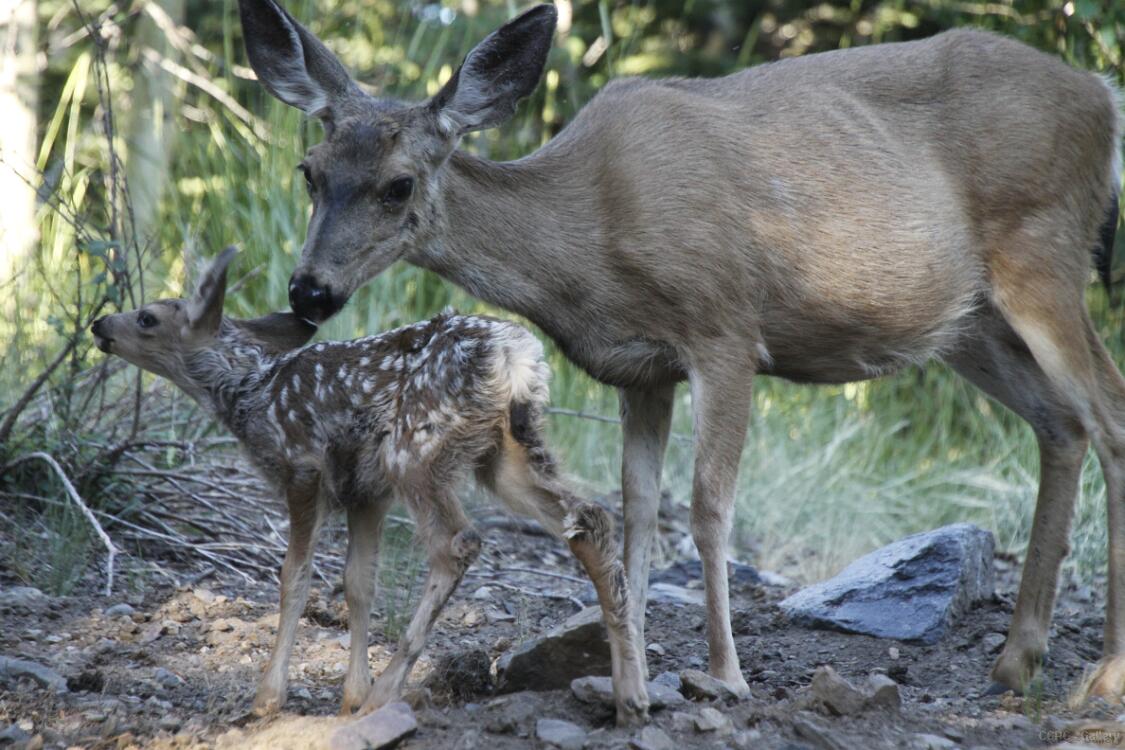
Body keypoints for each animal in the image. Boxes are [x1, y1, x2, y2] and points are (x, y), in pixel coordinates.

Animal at [239, 0, 1125, 706]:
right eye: (309, 170)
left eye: (397, 184)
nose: (308, 291)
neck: (589, 239)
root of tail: (1102, 98)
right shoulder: (640, 367)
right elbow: (637, 507)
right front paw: (625, 667)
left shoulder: (723, 326)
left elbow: (705, 506)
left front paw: (724, 674)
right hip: (970, 325)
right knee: (1062, 426)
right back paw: (1015, 661)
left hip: (1042, 251)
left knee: (1109, 414)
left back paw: (1102, 675)